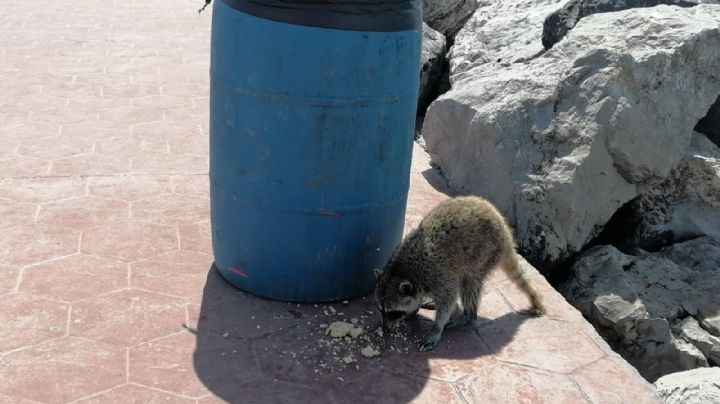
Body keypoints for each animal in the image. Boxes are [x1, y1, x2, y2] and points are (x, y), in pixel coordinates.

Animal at [374, 196, 544, 350]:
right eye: (380, 310)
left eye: (393, 312)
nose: (385, 329)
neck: (403, 270)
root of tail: (504, 228)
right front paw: (413, 310)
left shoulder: (438, 273)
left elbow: (448, 299)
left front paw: (437, 328)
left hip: (485, 253)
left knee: (469, 284)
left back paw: (468, 314)